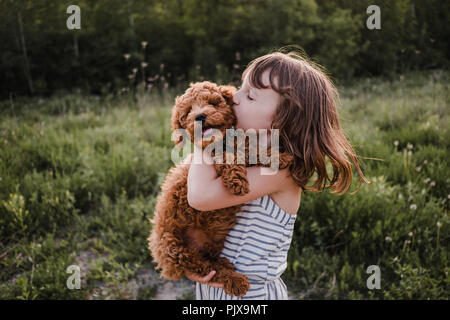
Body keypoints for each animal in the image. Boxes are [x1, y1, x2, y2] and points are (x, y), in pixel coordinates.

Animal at [148, 80, 294, 298]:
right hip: (176, 249)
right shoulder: (216, 154)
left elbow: (250, 149)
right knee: (207, 269)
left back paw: (226, 264)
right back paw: (236, 280)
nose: (200, 116)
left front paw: (278, 156)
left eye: (212, 103)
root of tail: (164, 262)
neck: (222, 141)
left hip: (210, 241)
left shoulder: (240, 145)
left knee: (211, 260)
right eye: (188, 111)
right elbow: (228, 158)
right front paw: (237, 181)